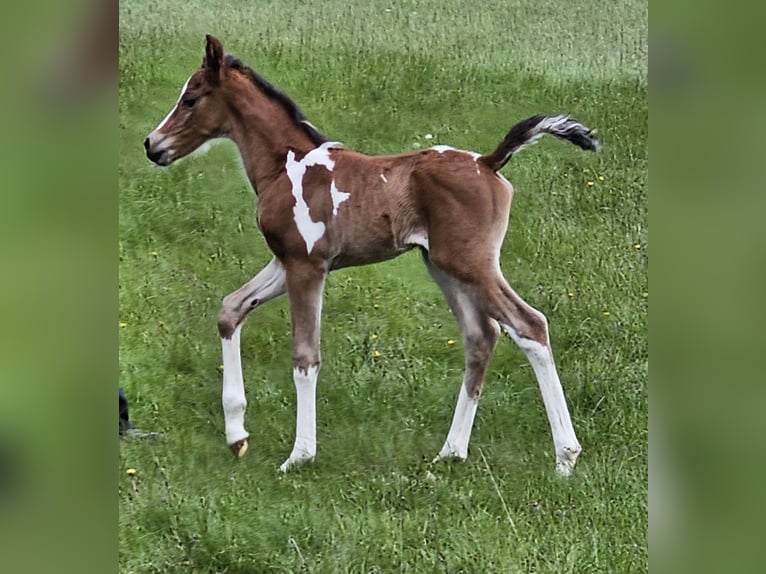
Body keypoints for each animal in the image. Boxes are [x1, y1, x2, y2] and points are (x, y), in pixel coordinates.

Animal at [144, 35, 599, 474]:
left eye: (191, 99)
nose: (152, 145)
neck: (285, 166)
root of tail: (488, 162)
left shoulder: (307, 265)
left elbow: (305, 355)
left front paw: (300, 455)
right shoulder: (285, 261)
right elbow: (231, 309)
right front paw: (237, 434)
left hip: (471, 264)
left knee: (529, 325)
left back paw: (565, 456)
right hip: (442, 266)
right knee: (481, 336)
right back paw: (451, 452)